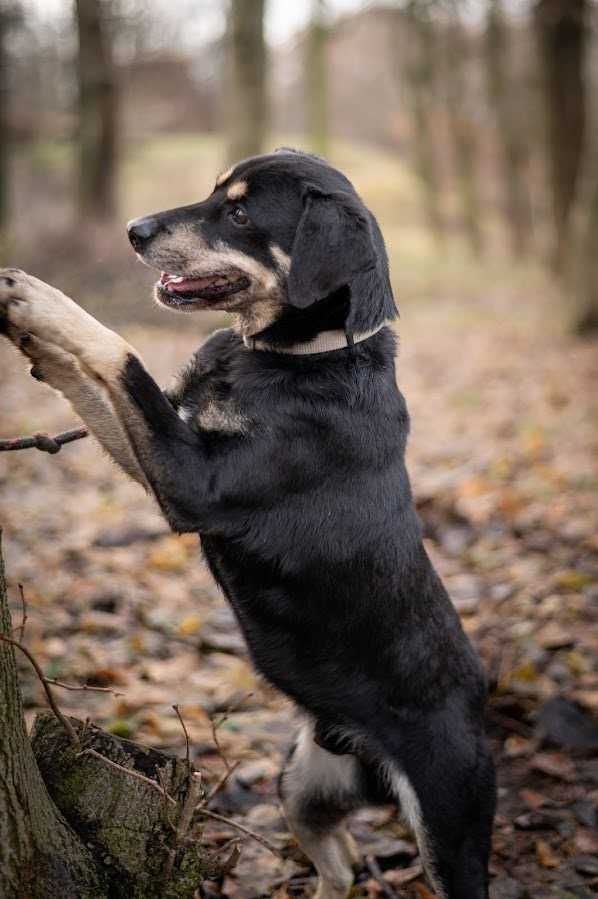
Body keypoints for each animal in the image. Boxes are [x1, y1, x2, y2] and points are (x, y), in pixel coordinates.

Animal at [0, 149, 496, 899]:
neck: (304, 357)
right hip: (303, 786)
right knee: (341, 866)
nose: (133, 230)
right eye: (213, 194)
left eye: (237, 212)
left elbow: (120, 355)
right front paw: (32, 336)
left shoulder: (191, 483)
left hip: (447, 830)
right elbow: (93, 388)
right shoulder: (163, 452)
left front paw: (42, 302)